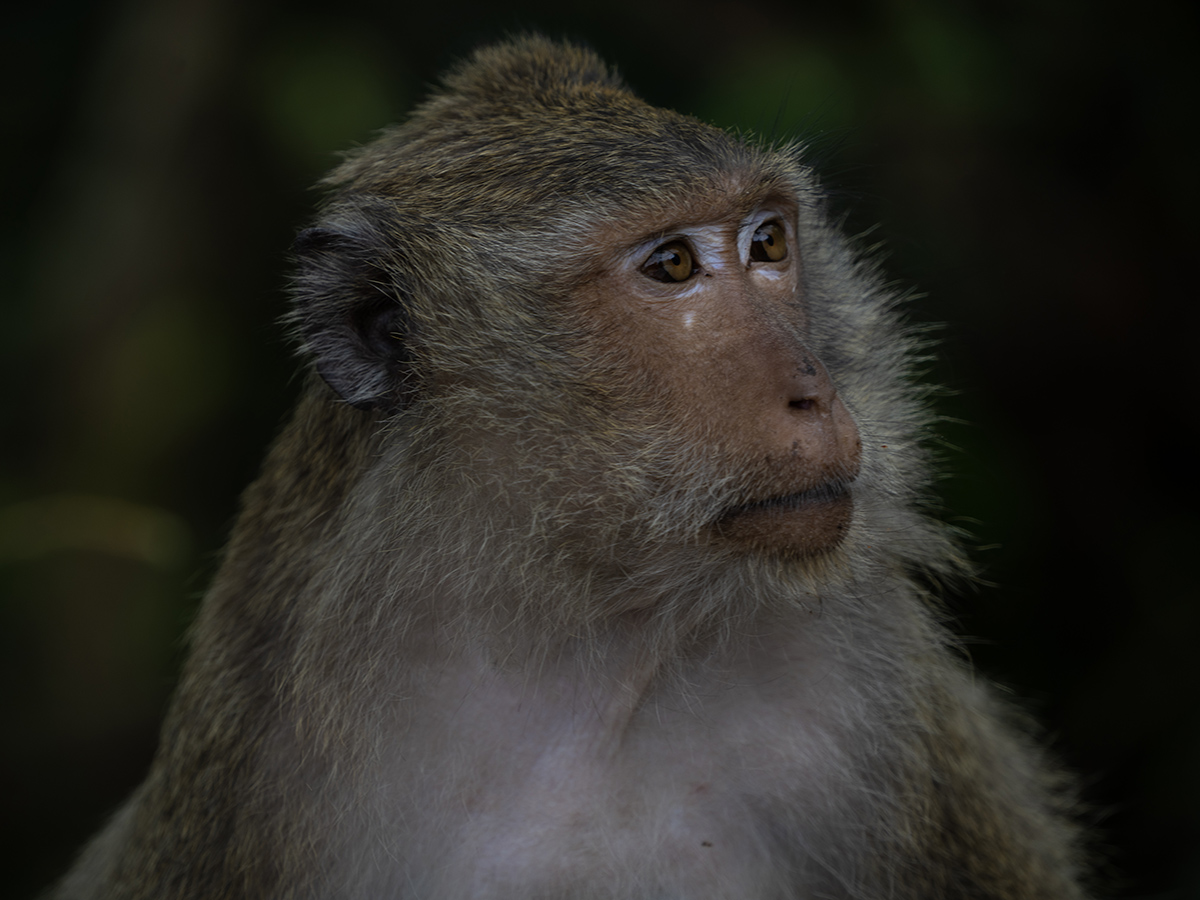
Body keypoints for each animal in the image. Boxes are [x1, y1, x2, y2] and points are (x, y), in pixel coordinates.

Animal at [54, 33, 1089, 900]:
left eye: (767, 242)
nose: (816, 395)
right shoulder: (266, 763)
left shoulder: (870, 703)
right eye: (671, 266)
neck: (594, 646)